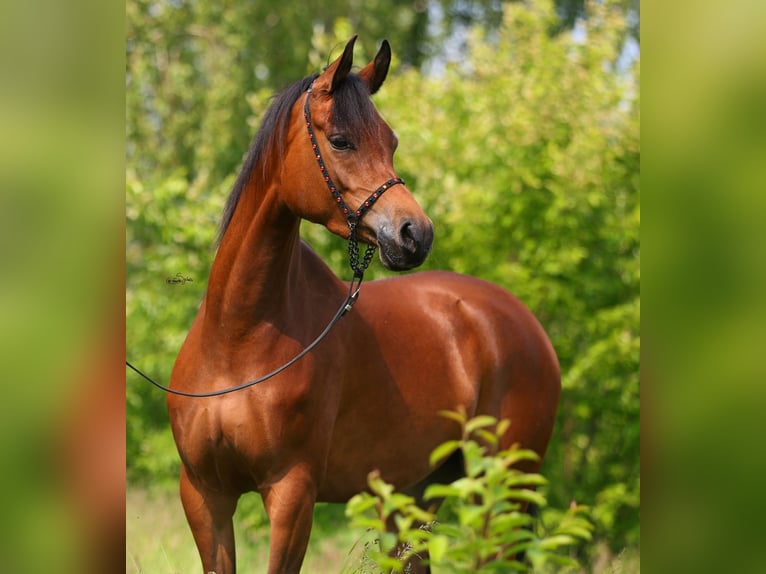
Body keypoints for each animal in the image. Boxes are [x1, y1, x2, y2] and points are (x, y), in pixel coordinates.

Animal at [167, 36, 560, 574]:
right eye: (340, 140)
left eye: (390, 142)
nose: (415, 234)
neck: (238, 340)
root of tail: (524, 324)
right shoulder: (205, 495)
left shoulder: (292, 494)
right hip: (416, 494)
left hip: (500, 489)